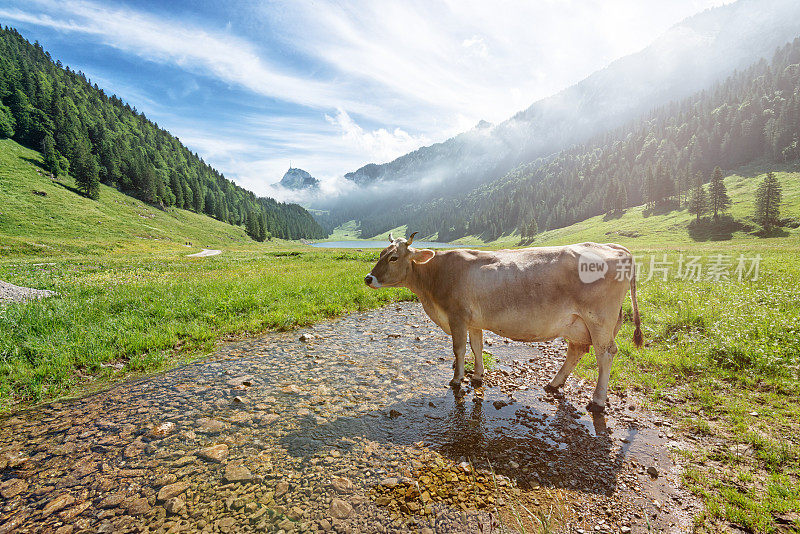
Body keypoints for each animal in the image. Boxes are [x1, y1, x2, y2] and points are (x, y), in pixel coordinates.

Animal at [364, 231, 644, 414]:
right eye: (380, 253)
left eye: (393, 258)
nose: (368, 278)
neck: (435, 278)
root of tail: (616, 248)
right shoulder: (473, 321)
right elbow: (476, 347)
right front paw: (477, 376)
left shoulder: (457, 316)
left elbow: (459, 349)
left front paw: (457, 379)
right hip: (577, 324)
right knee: (577, 350)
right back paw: (554, 384)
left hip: (599, 321)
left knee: (605, 354)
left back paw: (597, 401)